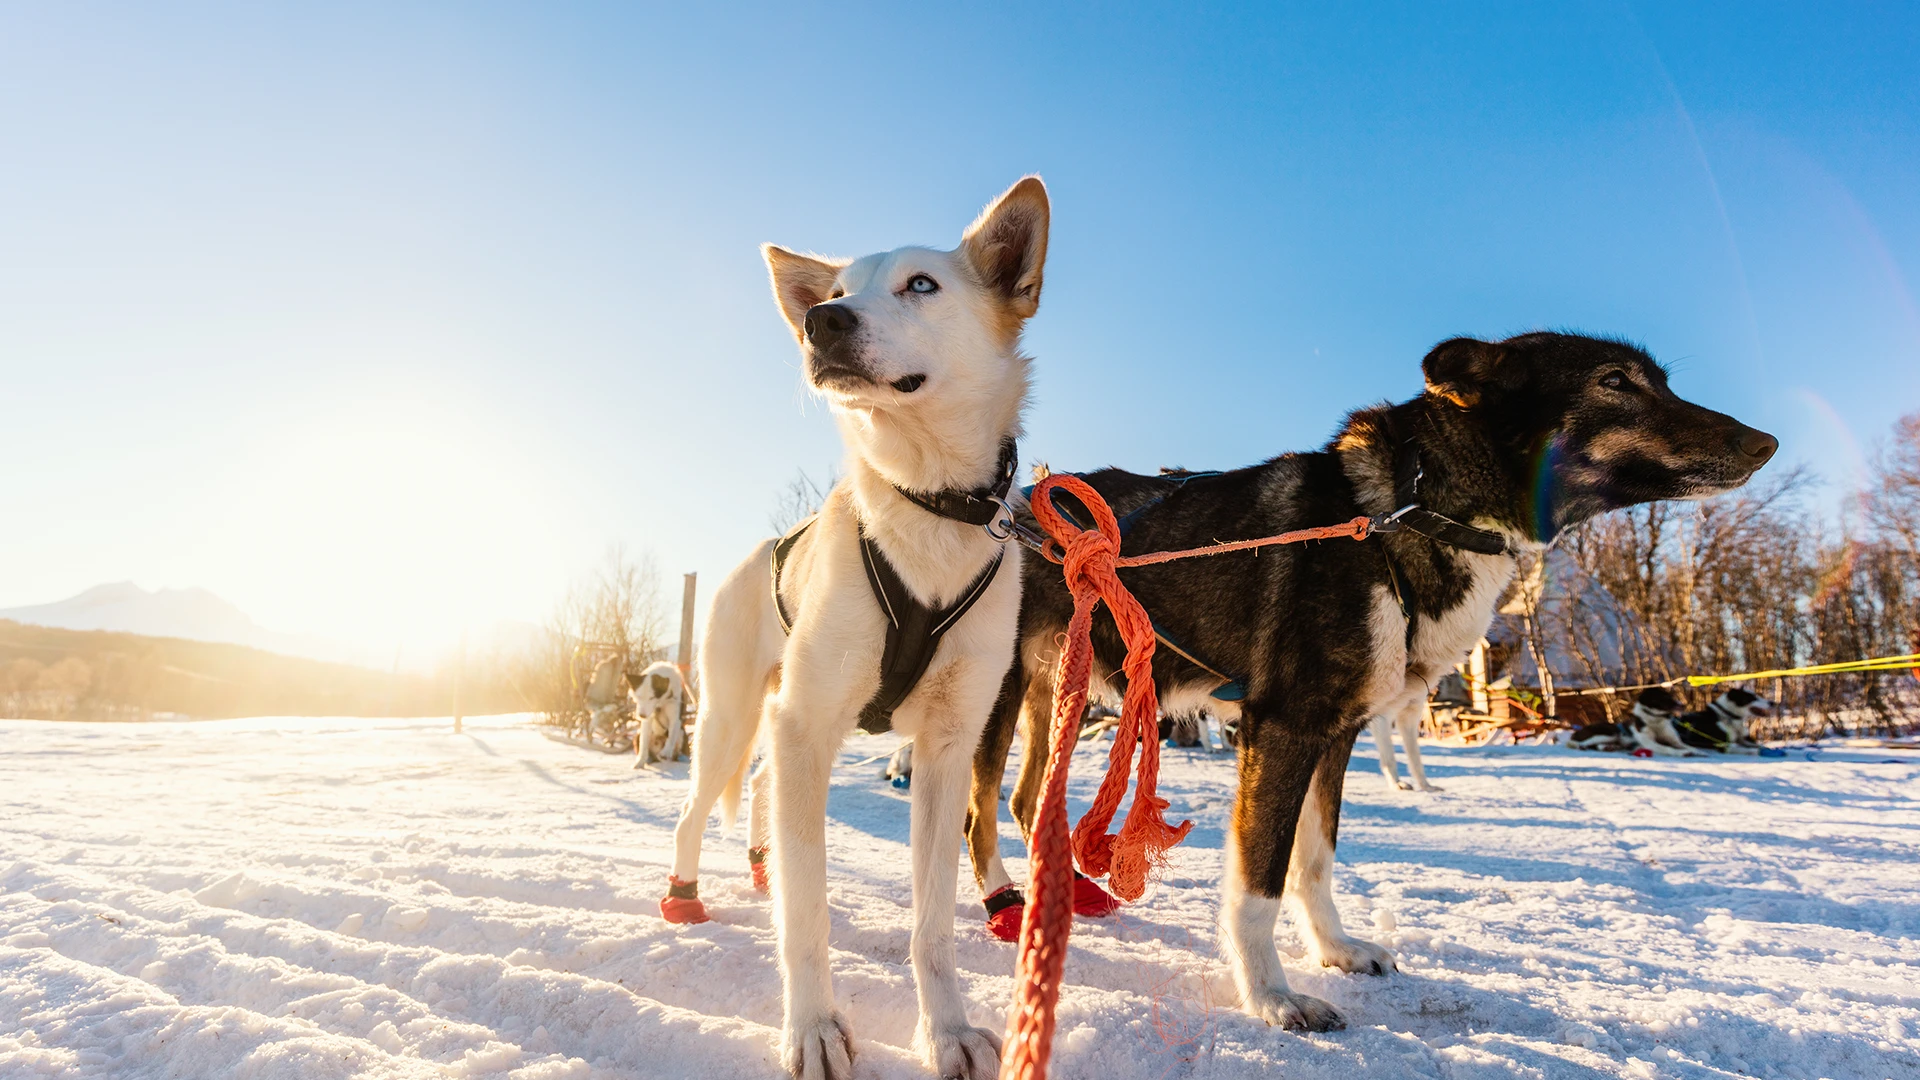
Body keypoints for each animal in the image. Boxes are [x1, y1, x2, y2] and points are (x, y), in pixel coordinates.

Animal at [664, 176, 1052, 1076]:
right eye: (835, 292)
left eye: (921, 284)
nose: (822, 322)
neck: (928, 507)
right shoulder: (806, 722)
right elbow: (809, 916)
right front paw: (812, 1028)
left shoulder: (945, 748)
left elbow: (933, 924)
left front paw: (947, 1030)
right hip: (733, 720)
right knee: (697, 810)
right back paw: (686, 895)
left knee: (763, 793)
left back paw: (762, 867)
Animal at [967, 332, 1774, 1030]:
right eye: (1614, 381)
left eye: (1661, 380)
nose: (1763, 442)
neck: (1412, 516)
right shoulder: (1283, 729)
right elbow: (1259, 885)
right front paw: (1270, 996)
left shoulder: (1335, 738)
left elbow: (1315, 862)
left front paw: (1332, 950)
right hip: (992, 702)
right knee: (979, 815)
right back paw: (1005, 906)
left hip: (1057, 695)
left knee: (1027, 800)